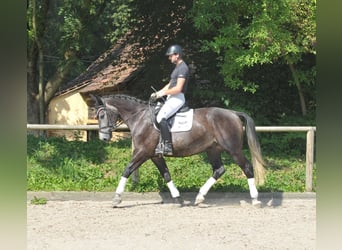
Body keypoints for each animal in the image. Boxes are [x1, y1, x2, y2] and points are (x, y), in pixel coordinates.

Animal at [91, 94, 268, 207]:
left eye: (102, 116)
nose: (104, 138)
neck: (140, 118)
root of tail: (233, 113)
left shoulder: (142, 152)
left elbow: (127, 170)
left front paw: (116, 198)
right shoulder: (155, 155)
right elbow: (166, 174)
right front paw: (177, 198)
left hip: (233, 149)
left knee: (247, 167)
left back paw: (255, 199)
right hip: (212, 149)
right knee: (219, 170)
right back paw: (199, 197)